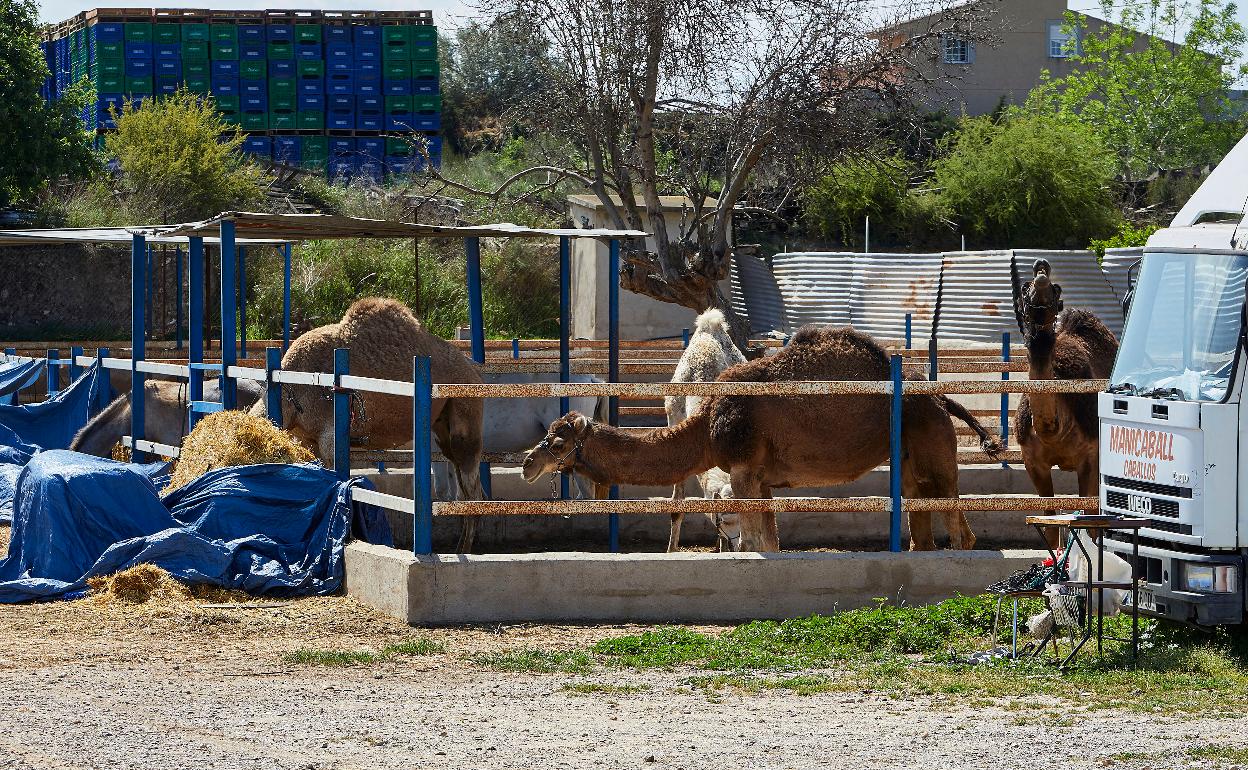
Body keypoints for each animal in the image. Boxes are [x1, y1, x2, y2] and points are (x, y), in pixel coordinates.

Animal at [248, 295, 486, 551]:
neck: (291, 387)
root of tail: (475, 372)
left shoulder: (330, 436)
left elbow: (339, 479)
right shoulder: (307, 440)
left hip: (465, 410)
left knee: (473, 487)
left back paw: (464, 550)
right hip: (443, 425)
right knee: (465, 489)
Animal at [1013, 255, 1123, 544]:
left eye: (1056, 291)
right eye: (1024, 290)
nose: (1041, 268)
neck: (1053, 428)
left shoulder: (1090, 456)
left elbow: (1092, 522)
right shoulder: (1032, 461)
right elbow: (1050, 525)